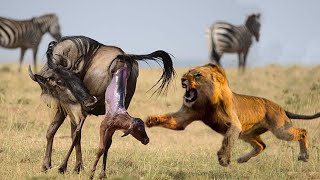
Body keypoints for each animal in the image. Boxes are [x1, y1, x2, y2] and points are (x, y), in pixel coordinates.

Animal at [146, 64, 320, 167]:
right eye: (188, 72)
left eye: (197, 75)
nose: (182, 79)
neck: (206, 102)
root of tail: (281, 107)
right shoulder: (184, 117)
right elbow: (171, 119)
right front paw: (151, 120)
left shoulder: (234, 125)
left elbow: (227, 140)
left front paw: (223, 159)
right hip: (247, 133)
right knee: (261, 146)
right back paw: (242, 159)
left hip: (280, 130)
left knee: (303, 131)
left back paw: (304, 156)